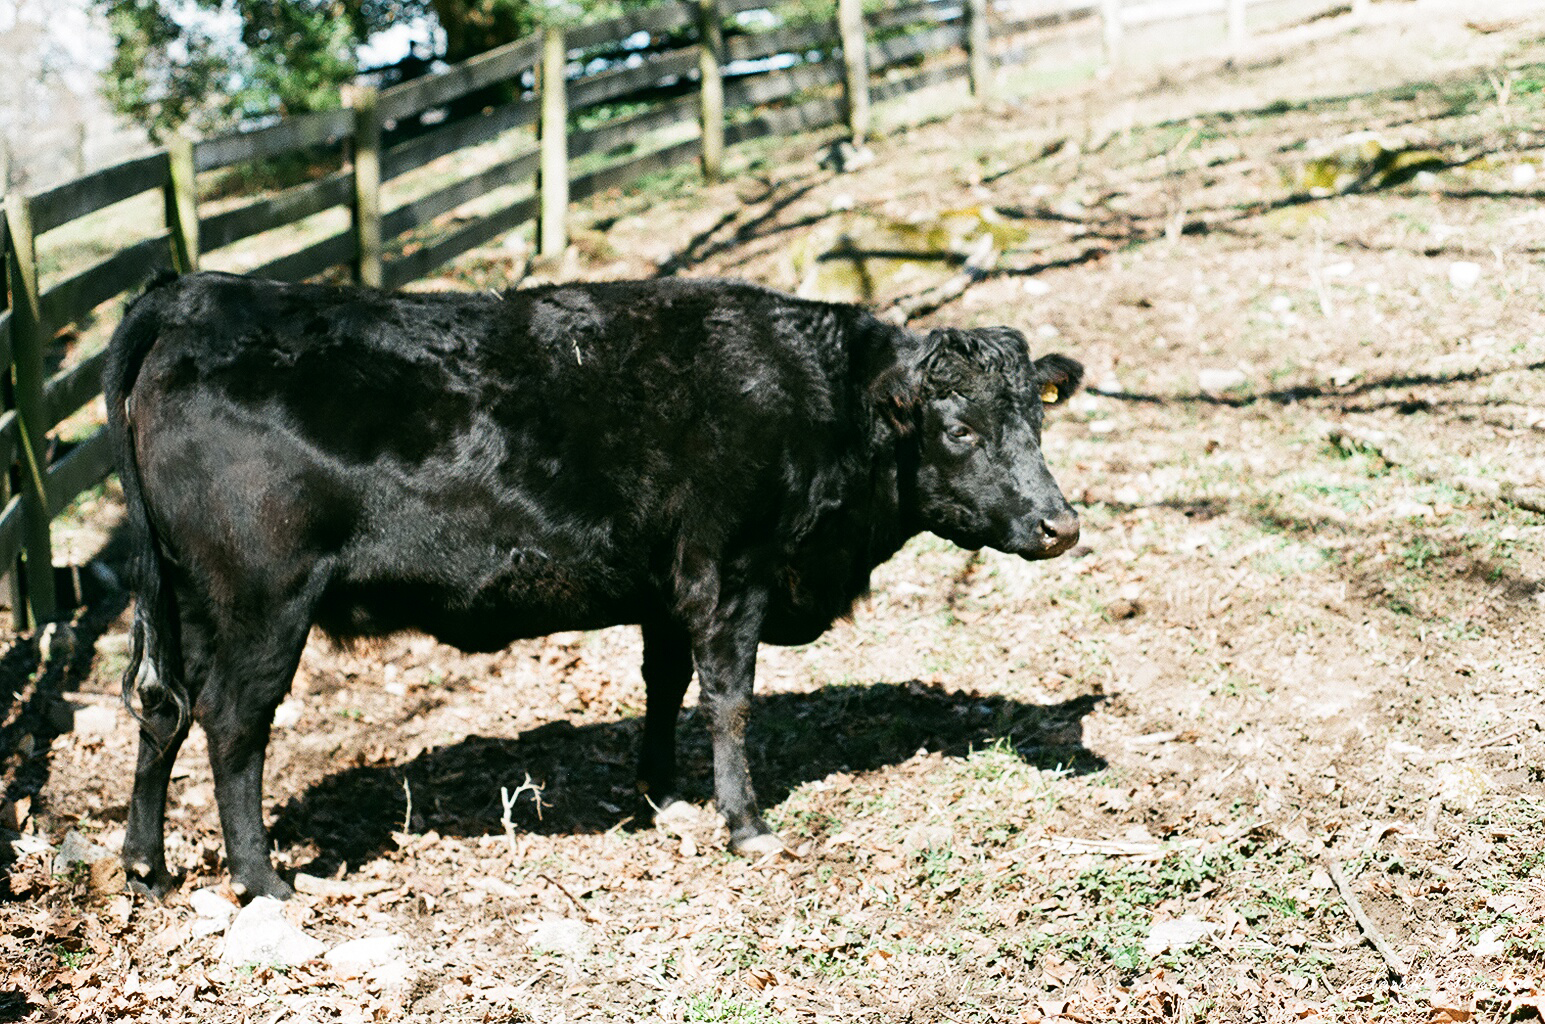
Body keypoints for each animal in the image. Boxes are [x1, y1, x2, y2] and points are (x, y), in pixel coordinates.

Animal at [105, 271, 1083, 901]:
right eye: (958, 430)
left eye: (1035, 421)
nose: (1059, 524)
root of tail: (194, 291)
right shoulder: (731, 575)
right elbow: (729, 700)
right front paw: (745, 823)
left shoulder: (669, 588)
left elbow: (665, 685)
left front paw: (658, 793)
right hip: (264, 603)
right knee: (232, 724)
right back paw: (262, 880)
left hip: (189, 603)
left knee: (164, 710)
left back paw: (148, 868)